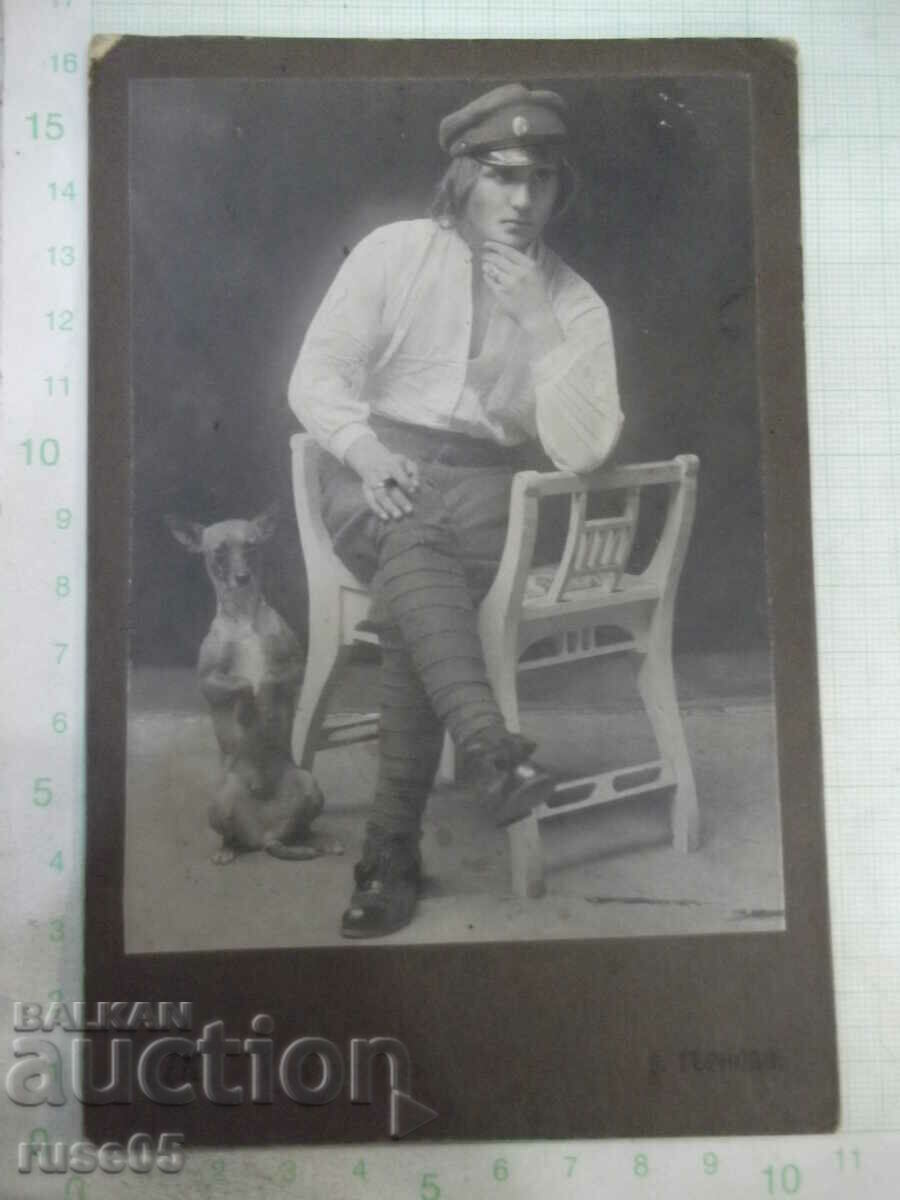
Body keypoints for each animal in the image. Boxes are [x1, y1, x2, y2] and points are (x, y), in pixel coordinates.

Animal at [165, 504, 340, 864]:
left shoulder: (295, 667)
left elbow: (270, 677)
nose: (243, 577)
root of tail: (266, 835)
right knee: (231, 837)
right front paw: (248, 708)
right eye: (218, 553)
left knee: (305, 829)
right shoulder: (208, 682)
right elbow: (243, 682)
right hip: (218, 803)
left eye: (252, 547)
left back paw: (321, 842)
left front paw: (265, 697)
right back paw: (226, 851)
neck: (244, 617)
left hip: (310, 785)